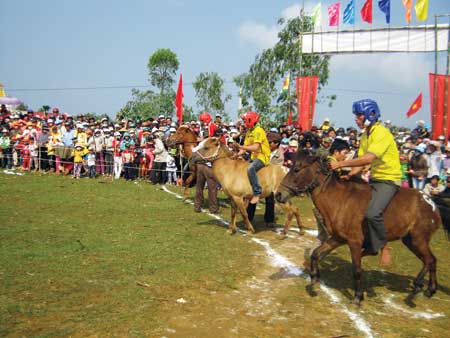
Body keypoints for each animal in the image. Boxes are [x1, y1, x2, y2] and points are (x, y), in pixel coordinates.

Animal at [276, 151, 448, 306]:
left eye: (296, 169)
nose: (278, 194)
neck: (340, 200)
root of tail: (432, 203)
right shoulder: (338, 238)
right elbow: (316, 254)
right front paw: (313, 279)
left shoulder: (354, 242)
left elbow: (356, 270)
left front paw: (358, 297)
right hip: (410, 240)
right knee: (431, 261)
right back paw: (429, 289)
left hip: (418, 239)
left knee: (429, 260)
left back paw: (418, 285)